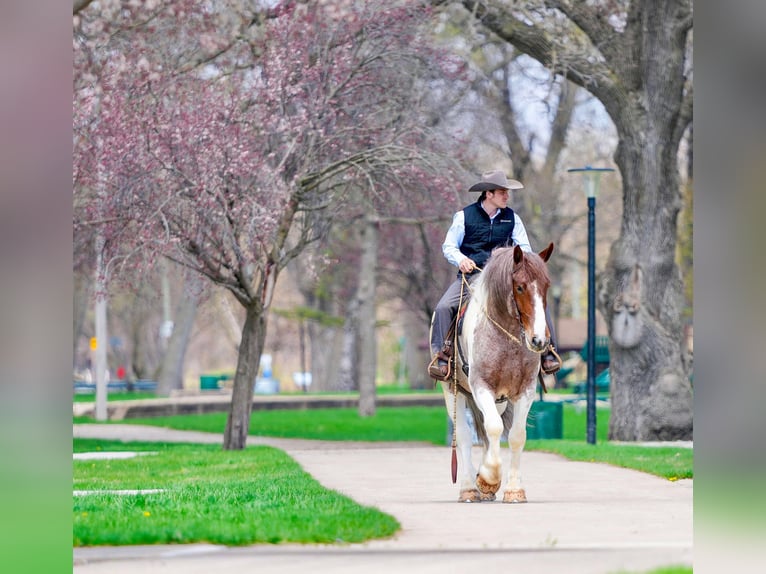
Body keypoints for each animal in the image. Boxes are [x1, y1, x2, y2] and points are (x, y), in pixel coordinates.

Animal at [442, 242, 554, 503]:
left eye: (546, 285)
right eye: (520, 287)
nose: (539, 340)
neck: (507, 337)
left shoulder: (524, 390)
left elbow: (516, 435)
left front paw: (513, 489)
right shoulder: (481, 386)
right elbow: (494, 428)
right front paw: (488, 478)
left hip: (500, 401)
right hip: (453, 392)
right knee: (465, 436)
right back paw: (469, 487)